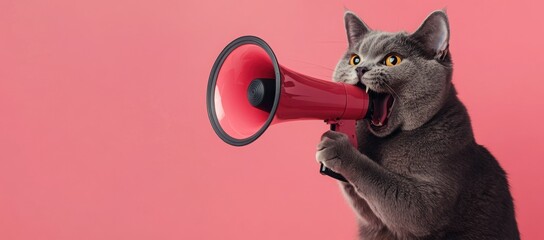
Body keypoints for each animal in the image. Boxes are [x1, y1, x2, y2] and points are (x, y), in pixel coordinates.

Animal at [316, 10, 520, 239]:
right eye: (355, 58)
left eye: (392, 60)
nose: (361, 68)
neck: (387, 141)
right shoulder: (372, 219)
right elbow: (366, 205)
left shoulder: (432, 197)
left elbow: (383, 184)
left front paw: (337, 148)